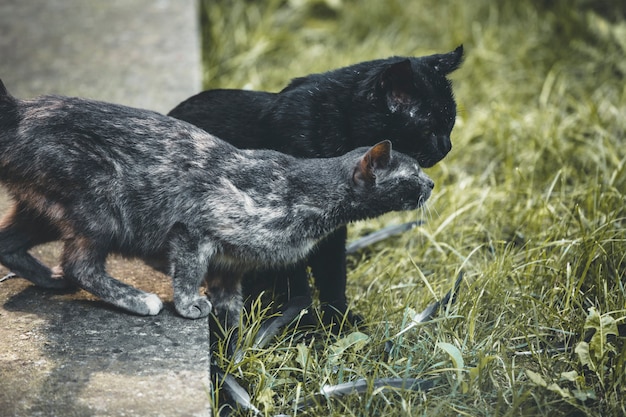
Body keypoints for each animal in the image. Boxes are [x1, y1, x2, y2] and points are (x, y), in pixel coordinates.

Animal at [0, 79, 432, 322]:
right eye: (413, 173)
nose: (430, 184)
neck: (303, 193)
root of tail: (20, 111)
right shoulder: (194, 229)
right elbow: (189, 272)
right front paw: (189, 305)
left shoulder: (233, 263)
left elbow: (230, 297)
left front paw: (232, 330)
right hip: (101, 208)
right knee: (79, 265)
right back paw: (137, 300)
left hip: (42, 209)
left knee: (9, 245)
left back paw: (50, 280)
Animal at [168, 46, 460, 324]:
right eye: (430, 129)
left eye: (451, 124)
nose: (447, 146)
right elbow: (295, 284)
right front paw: (303, 326)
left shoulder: (333, 231)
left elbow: (333, 275)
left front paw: (338, 322)